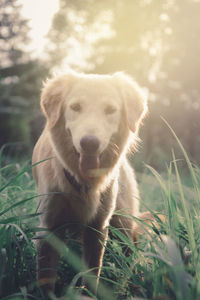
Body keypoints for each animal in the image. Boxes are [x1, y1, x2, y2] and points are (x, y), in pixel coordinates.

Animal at [32, 71, 148, 298]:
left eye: (110, 109)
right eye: (76, 107)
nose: (89, 143)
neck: (82, 182)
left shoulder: (97, 227)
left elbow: (93, 272)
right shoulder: (50, 227)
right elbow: (46, 278)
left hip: (123, 221)